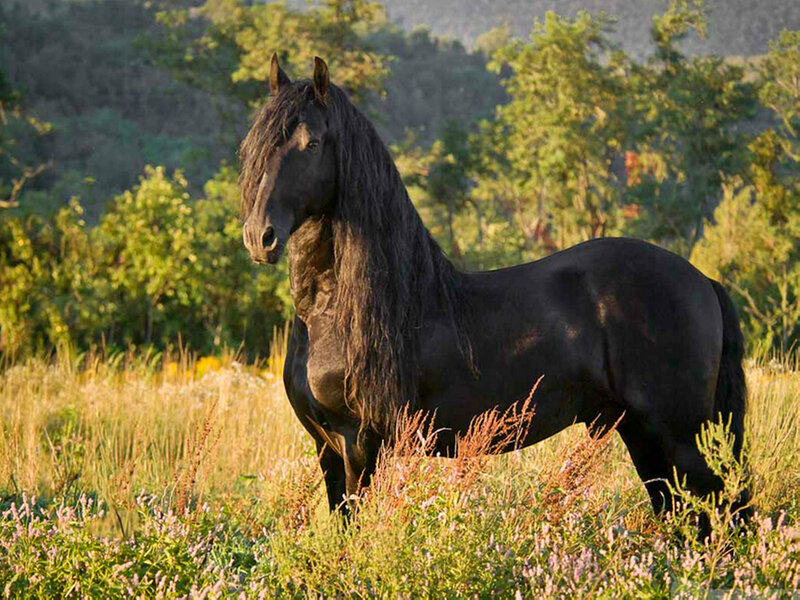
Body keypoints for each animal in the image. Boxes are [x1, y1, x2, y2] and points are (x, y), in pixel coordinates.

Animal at [239, 54, 750, 522]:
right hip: (645, 437)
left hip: (679, 436)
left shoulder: (359, 446)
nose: (260, 237)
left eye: (312, 142)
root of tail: (702, 281)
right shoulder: (328, 450)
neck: (332, 313)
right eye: (254, 146)